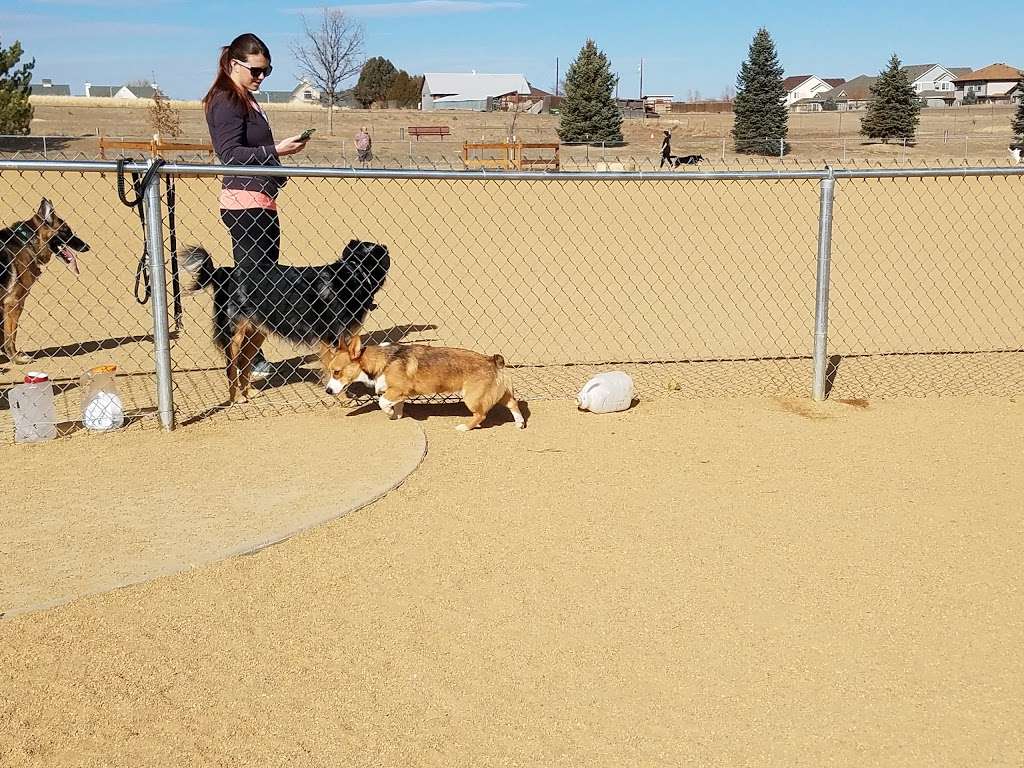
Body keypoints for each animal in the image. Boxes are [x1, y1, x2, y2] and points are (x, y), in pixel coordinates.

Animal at [1, 198, 90, 366]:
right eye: (65, 231)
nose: (87, 247)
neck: (26, 240)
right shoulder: (14, 303)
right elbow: (11, 334)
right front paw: (15, 357)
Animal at [182, 240, 389, 405]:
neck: (355, 273)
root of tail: (225, 273)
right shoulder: (330, 338)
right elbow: (335, 370)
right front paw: (342, 398)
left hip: (256, 333)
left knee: (245, 362)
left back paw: (248, 393)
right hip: (235, 335)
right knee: (231, 368)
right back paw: (237, 398)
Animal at [323, 335, 524, 434]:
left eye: (337, 372)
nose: (328, 390)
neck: (383, 361)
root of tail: (492, 360)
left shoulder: (397, 390)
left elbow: (382, 402)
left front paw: (389, 413)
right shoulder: (399, 394)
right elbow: (398, 406)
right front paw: (396, 415)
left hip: (472, 398)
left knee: (481, 415)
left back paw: (465, 427)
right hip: (501, 394)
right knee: (513, 404)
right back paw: (519, 423)